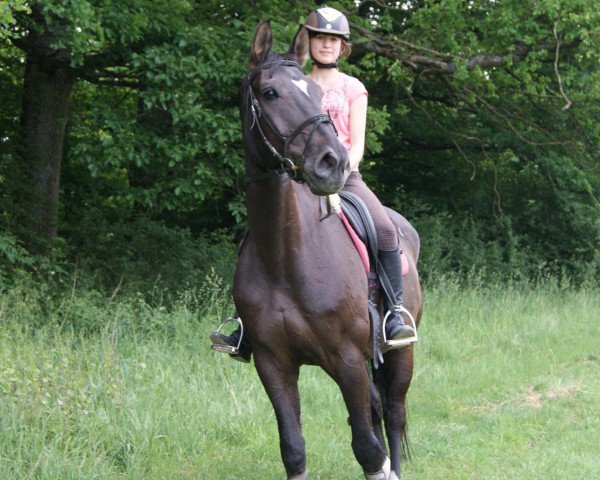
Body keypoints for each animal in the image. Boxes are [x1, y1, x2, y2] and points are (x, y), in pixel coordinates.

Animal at [232, 21, 424, 480]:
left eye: (317, 96)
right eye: (270, 92)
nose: (332, 162)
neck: (285, 257)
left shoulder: (347, 359)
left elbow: (369, 451)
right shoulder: (273, 362)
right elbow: (294, 448)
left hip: (400, 354)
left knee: (392, 415)